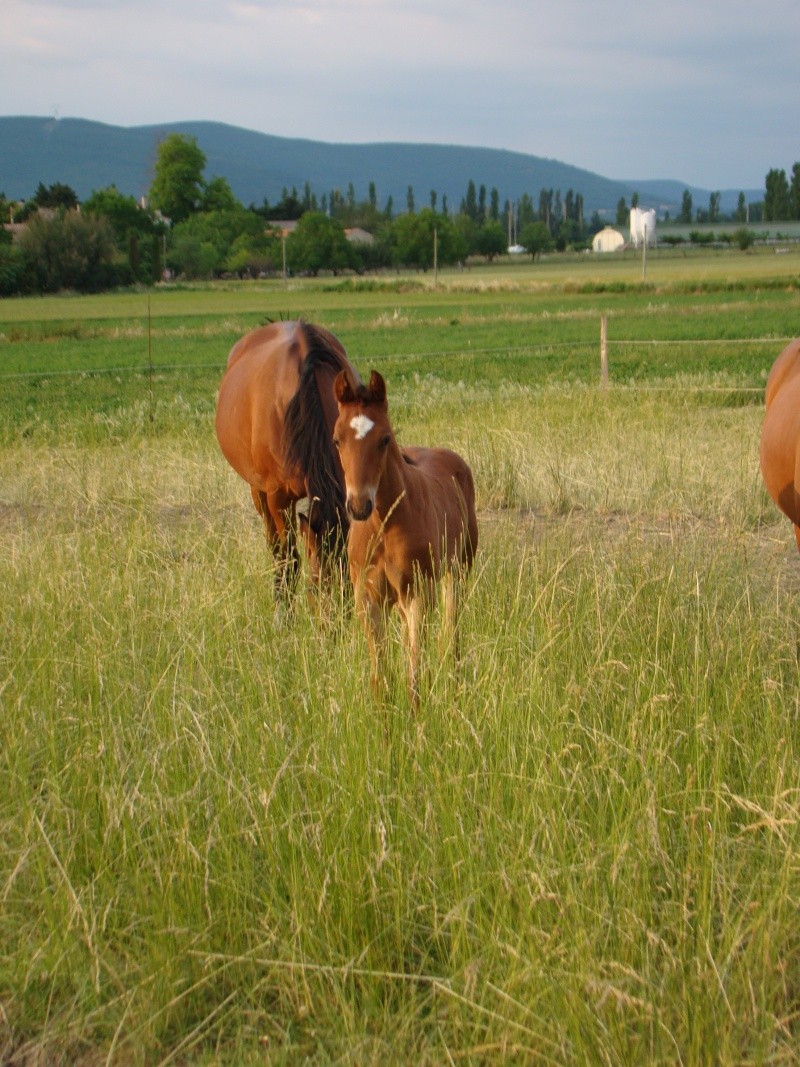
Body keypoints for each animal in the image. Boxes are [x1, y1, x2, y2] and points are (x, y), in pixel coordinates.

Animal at [217, 320, 358, 593]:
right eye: (314, 588)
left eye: (350, 585)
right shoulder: (278, 500)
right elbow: (288, 561)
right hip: (259, 492)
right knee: (275, 547)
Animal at [332, 369, 480, 708]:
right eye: (336, 439)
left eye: (385, 438)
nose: (359, 505)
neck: (384, 526)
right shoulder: (366, 597)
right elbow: (380, 678)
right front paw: (384, 721)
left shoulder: (417, 593)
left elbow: (415, 675)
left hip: (457, 572)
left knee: (451, 633)